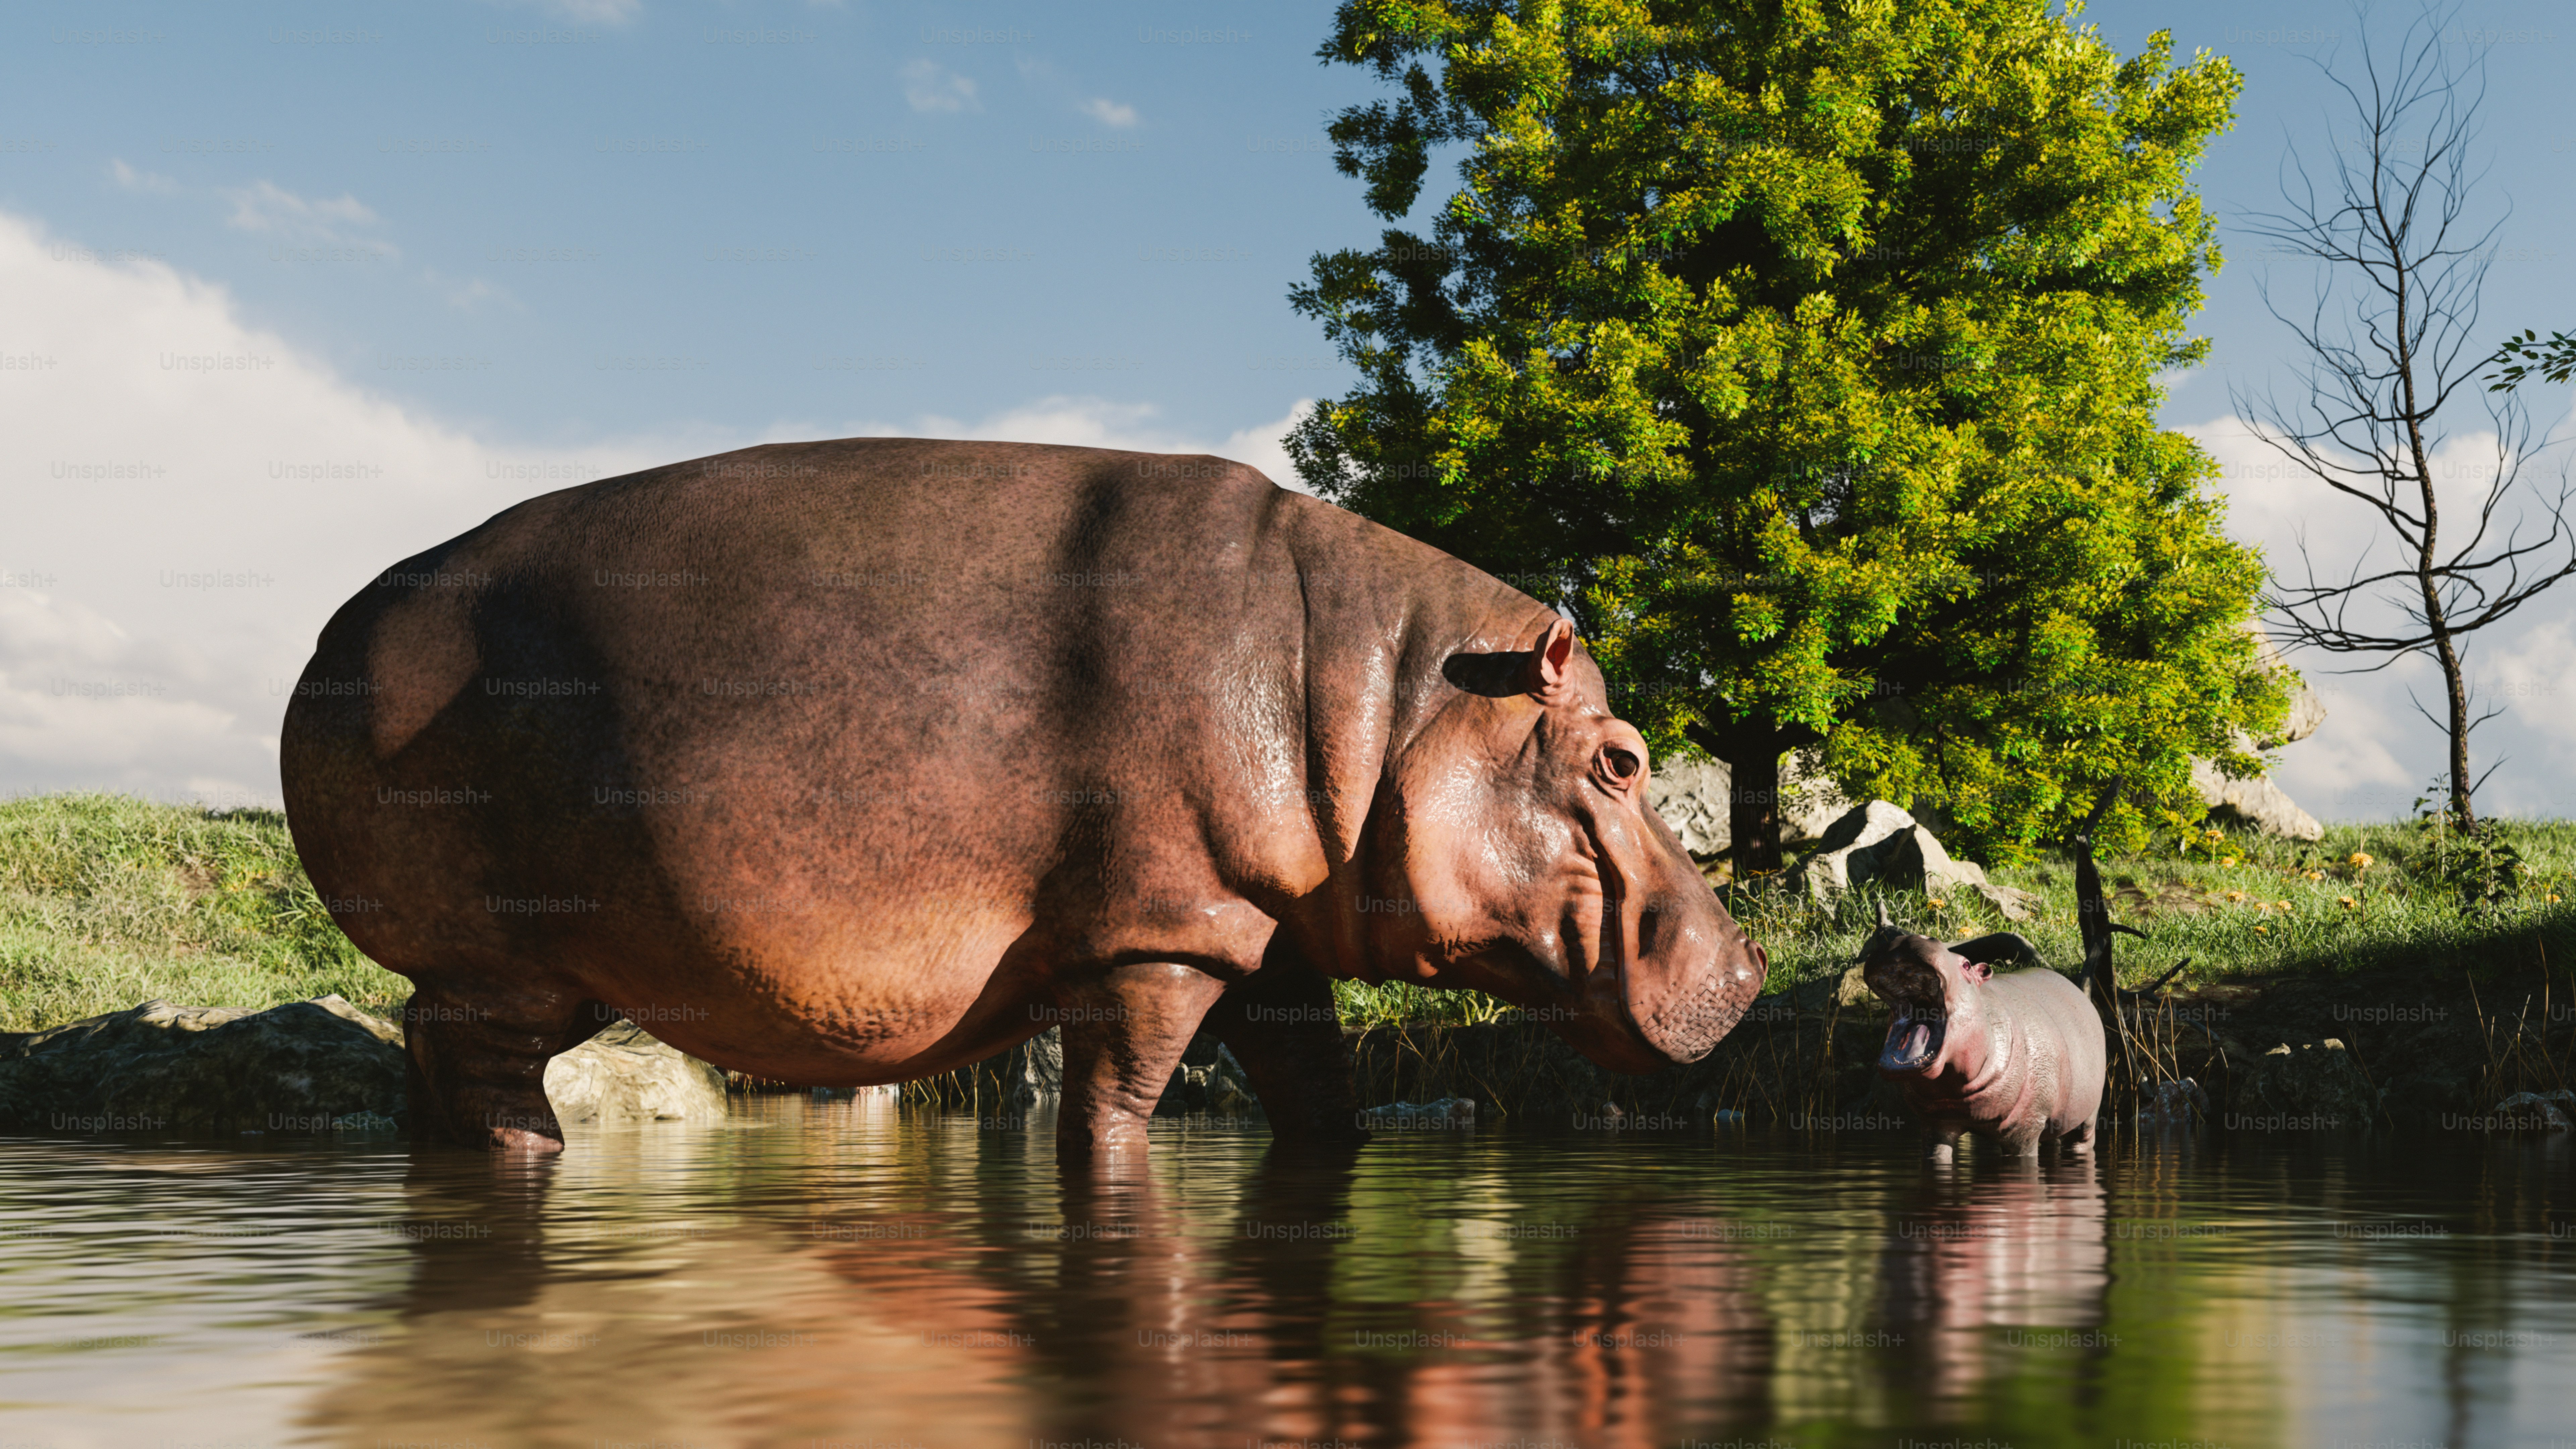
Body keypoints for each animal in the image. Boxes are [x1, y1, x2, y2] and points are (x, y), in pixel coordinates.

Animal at [281, 438, 1770, 1157]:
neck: (1387, 698)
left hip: (559, 964)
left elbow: (1321, 1100)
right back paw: (537, 1158)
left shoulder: (1263, 941)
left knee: (430, 1058)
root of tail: (337, 626)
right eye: (1622, 758)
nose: (1756, 969)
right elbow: (1111, 1113)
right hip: (507, 954)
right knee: (476, 1068)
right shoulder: (1156, 941)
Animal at [1858, 903, 2105, 1161]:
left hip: (2089, 1112)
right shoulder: (1936, 1124)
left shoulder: (2025, 1128)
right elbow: (1938, 1154)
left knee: (2083, 1139)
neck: (1954, 1089)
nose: (1910, 937)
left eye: (1967, 965)